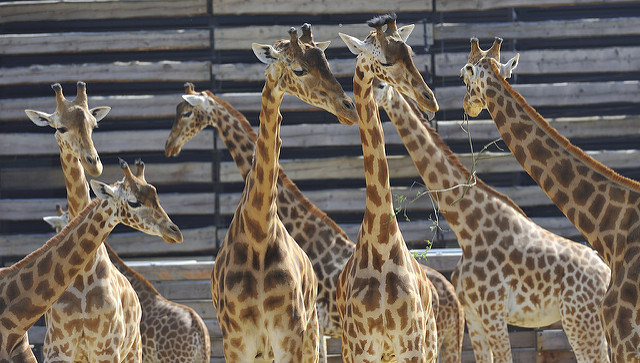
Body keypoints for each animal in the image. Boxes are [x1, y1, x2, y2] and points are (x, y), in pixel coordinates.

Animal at [0, 161, 182, 363]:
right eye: (134, 202)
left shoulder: (106, 350)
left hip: (133, 351)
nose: (175, 232)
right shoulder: (58, 349)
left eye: (155, 195)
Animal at [210, 24, 360, 362]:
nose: (350, 109)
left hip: (312, 334)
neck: (258, 233)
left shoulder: (289, 334)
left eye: (326, 62)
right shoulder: (235, 340)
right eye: (299, 69)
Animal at [338, 13, 442, 362]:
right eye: (384, 61)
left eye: (411, 52)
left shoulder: (411, 343)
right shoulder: (362, 347)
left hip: (430, 345)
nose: (429, 100)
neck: (382, 243)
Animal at [378, 75, 612, 362]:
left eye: (381, 84)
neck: (467, 229)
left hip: (579, 319)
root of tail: (607, 273)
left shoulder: (493, 312)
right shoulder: (474, 316)